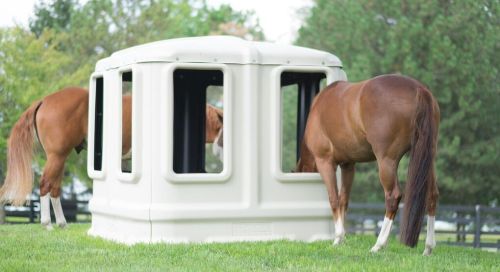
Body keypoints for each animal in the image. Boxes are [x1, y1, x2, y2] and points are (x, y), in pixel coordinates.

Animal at [0, 87, 223, 230]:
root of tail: (45, 100)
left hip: (59, 159)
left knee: (54, 187)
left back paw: (62, 224)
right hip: (57, 156)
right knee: (46, 184)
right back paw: (47, 224)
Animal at [294, 74, 440, 255]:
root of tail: (418, 89)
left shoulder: (325, 162)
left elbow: (334, 199)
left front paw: (337, 238)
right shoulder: (348, 165)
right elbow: (344, 200)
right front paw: (342, 239)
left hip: (387, 161)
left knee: (393, 197)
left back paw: (379, 244)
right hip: (427, 157)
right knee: (432, 195)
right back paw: (428, 248)